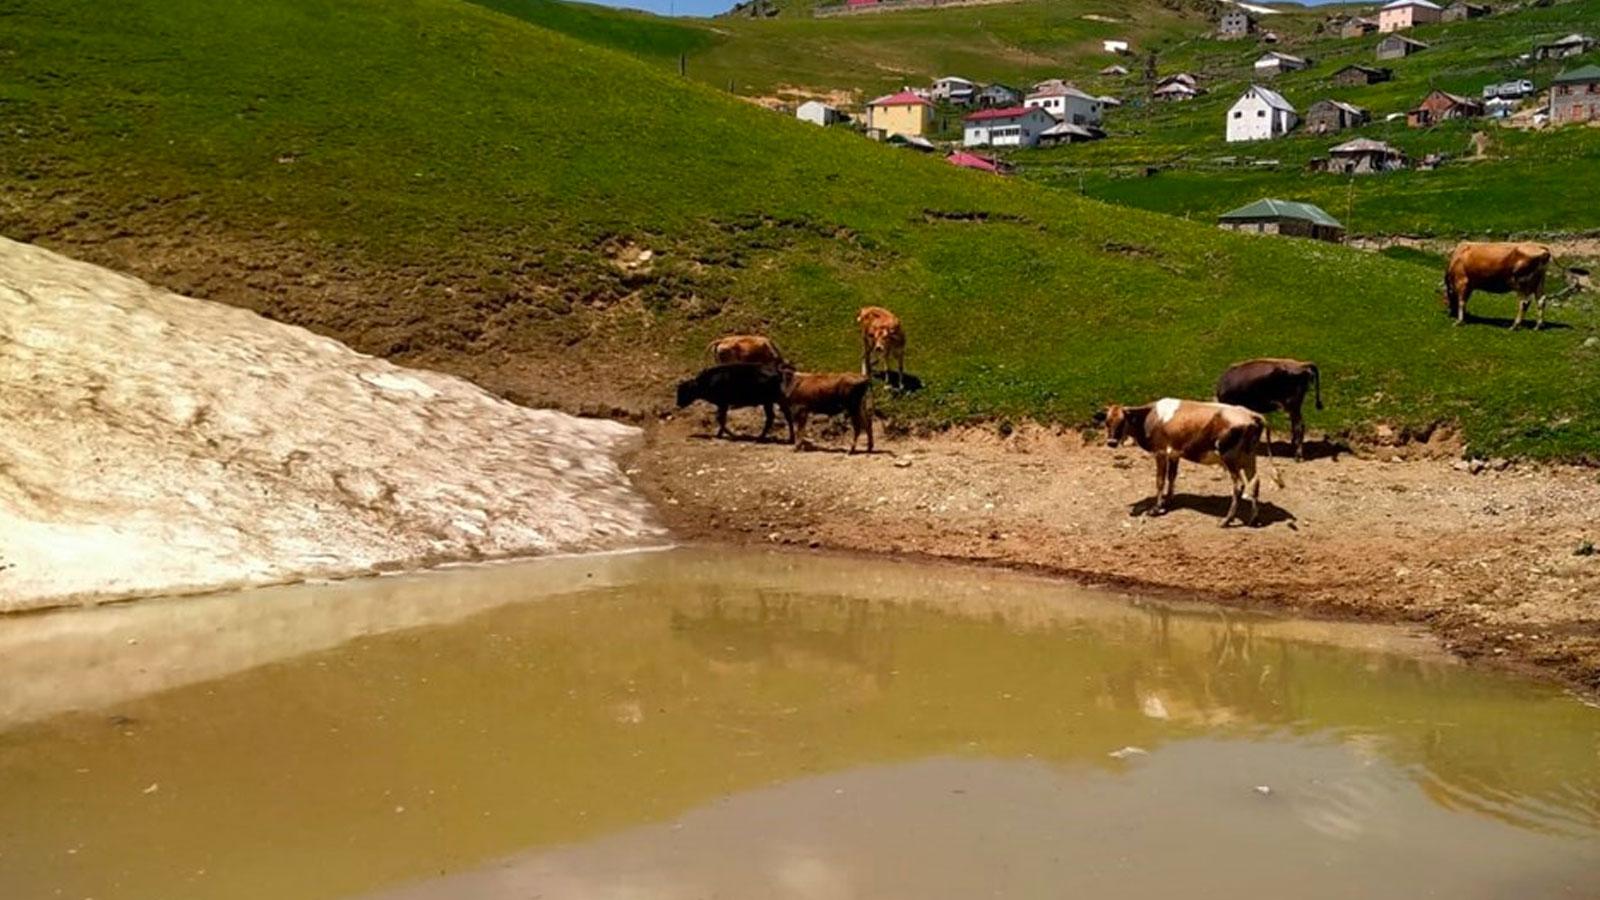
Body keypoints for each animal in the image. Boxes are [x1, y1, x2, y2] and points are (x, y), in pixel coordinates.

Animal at [1100, 397, 1286, 525]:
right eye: (1107, 422)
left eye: (1122, 421)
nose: (1111, 442)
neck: (1151, 417)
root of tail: (1251, 414)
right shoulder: (1174, 454)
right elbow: (1172, 477)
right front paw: (1168, 501)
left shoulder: (1160, 453)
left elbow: (1160, 481)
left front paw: (1156, 508)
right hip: (1249, 457)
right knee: (1254, 482)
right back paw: (1253, 519)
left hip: (1230, 458)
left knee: (1239, 485)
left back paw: (1227, 520)